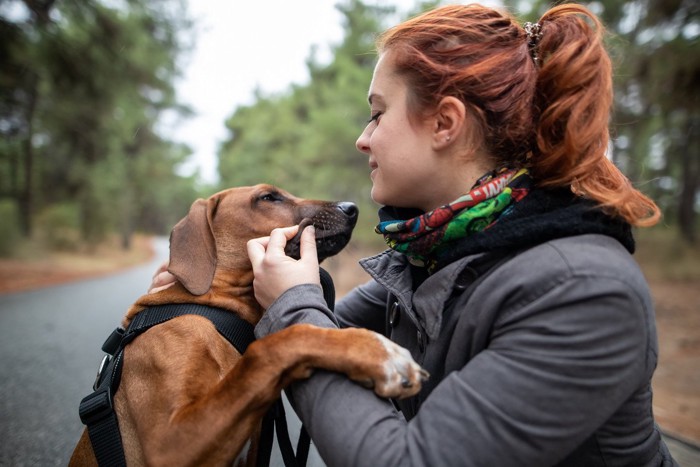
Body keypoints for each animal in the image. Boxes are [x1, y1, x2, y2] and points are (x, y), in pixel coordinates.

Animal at [71, 186, 430, 467]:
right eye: (268, 197)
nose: (351, 208)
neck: (212, 308)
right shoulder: (169, 446)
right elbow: (275, 344)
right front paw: (377, 353)